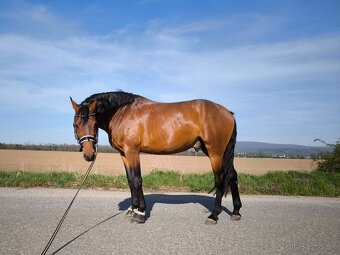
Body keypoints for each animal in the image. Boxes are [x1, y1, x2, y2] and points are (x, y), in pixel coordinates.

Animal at [71, 91, 242, 223]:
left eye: (94, 124)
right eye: (76, 125)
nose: (89, 155)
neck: (123, 112)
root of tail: (228, 113)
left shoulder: (132, 151)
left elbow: (137, 180)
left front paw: (140, 213)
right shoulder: (124, 154)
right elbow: (130, 180)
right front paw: (132, 209)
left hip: (215, 152)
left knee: (220, 180)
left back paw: (214, 215)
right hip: (217, 152)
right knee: (232, 175)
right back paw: (236, 212)